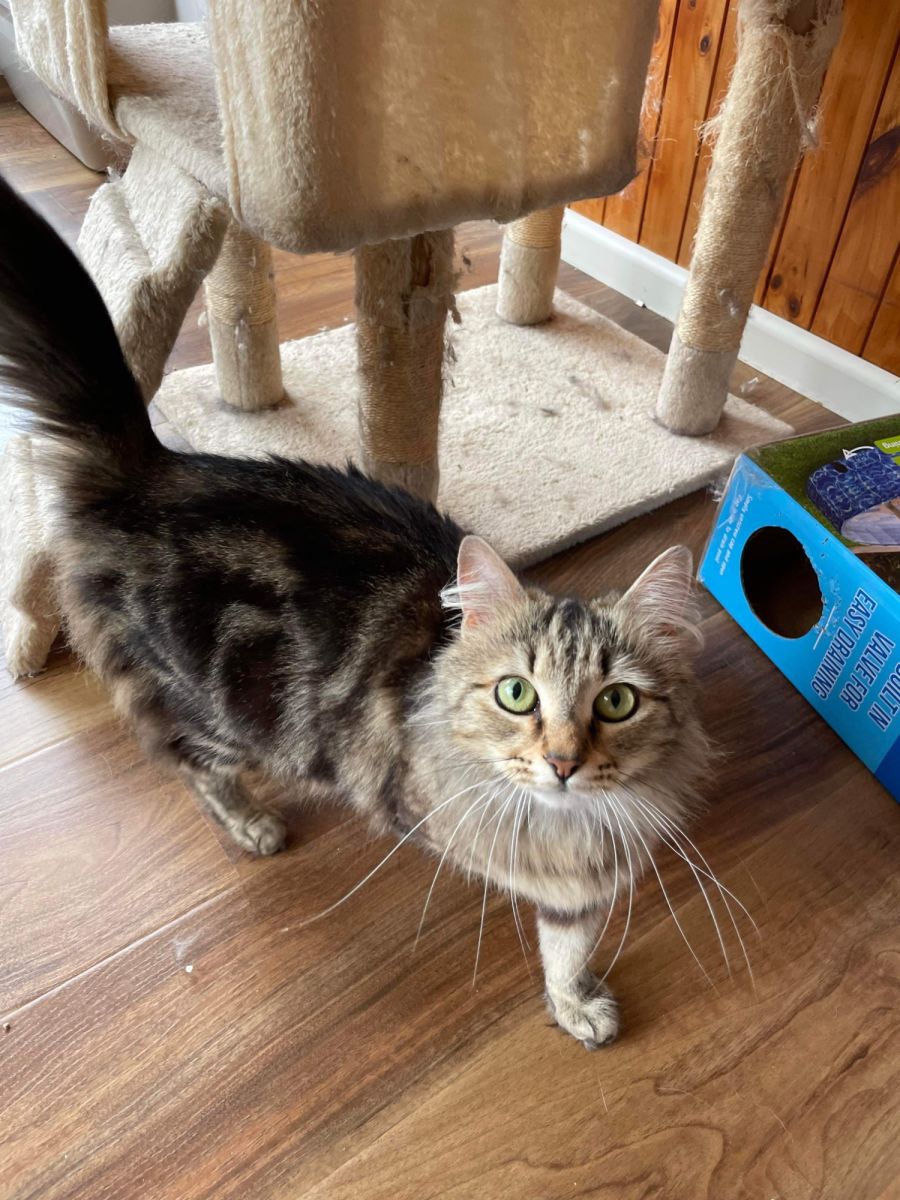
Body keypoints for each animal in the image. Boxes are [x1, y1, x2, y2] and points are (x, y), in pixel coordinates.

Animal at [0, 175, 711, 1048]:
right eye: (517, 694)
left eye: (616, 703)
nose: (563, 764)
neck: (565, 826)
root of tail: (151, 471)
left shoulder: (580, 876)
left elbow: (568, 945)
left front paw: (576, 1004)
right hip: (224, 711)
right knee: (189, 766)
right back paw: (252, 826)